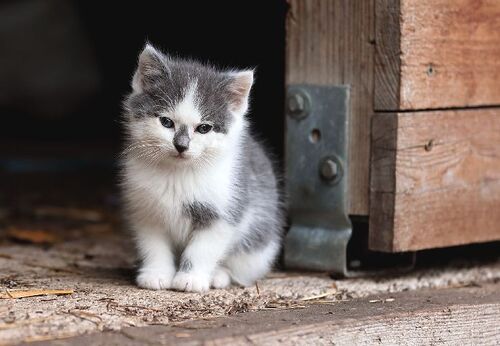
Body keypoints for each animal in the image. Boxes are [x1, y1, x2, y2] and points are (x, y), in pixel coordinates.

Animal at [120, 43, 284, 292]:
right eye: (166, 122)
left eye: (204, 128)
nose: (181, 145)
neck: (177, 174)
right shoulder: (146, 212)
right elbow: (154, 246)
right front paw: (156, 274)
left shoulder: (222, 212)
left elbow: (201, 249)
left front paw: (191, 279)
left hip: (258, 244)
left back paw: (219, 275)